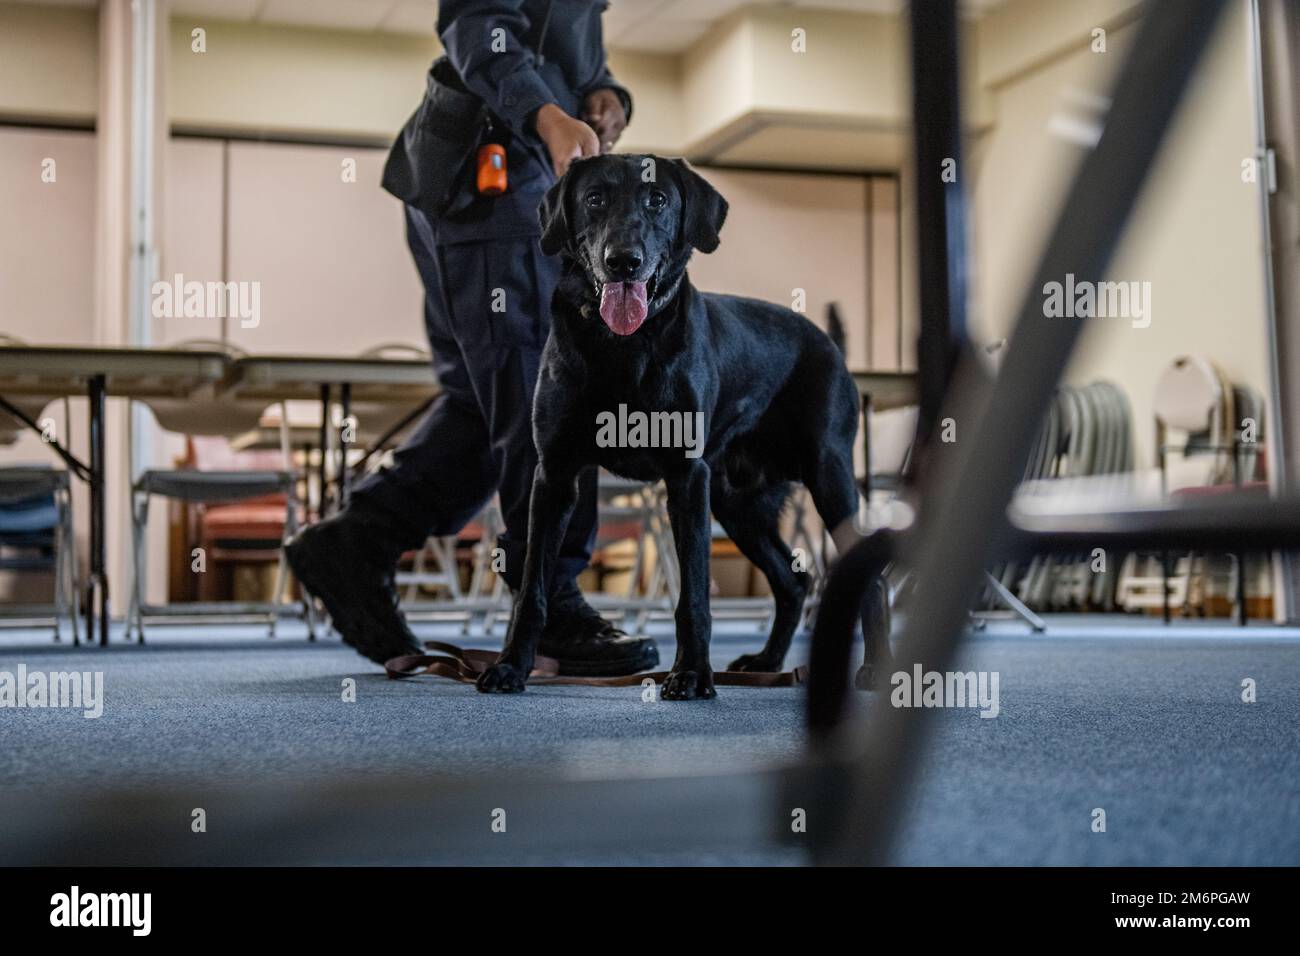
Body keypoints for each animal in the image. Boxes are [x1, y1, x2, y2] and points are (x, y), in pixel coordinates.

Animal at [483, 153, 889, 697]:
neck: (623, 345)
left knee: (866, 575)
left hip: (828, 478)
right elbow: (532, 590)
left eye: (657, 199)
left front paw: (693, 673)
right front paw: (511, 665)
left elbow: (694, 593)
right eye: (595, 199)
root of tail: (827, 342)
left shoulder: (686, 478)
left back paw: (876, 668)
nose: (623, 260)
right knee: (793, 582)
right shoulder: (554, 475)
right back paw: (767, 661)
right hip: (737, 503)